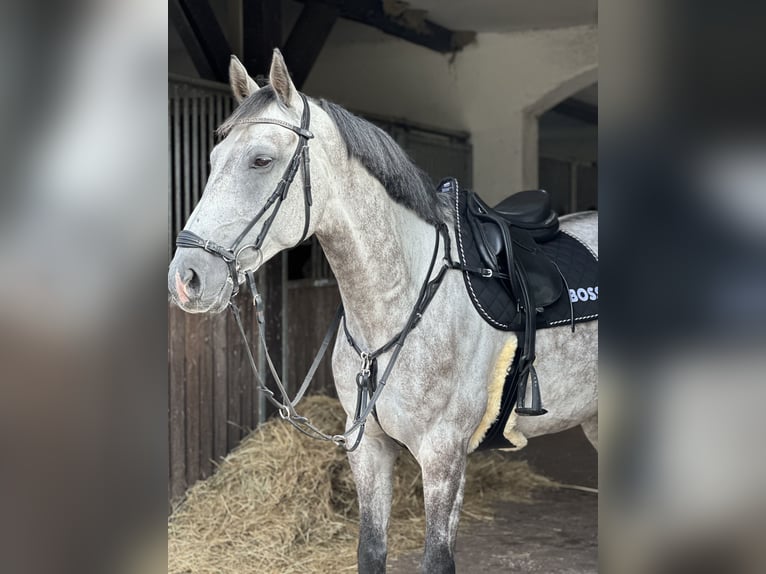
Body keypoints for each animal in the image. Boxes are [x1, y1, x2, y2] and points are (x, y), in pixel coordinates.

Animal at [168, 49, 597, 574]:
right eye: (212, 161)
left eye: (261, 160)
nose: (186, 278)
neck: (396, 304)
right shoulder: (368, 450)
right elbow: (371, 550)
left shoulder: (442, 456)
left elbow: (438, 559)